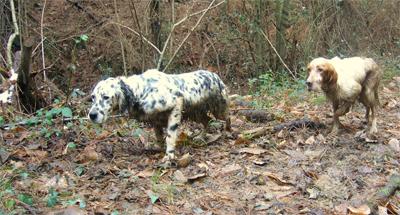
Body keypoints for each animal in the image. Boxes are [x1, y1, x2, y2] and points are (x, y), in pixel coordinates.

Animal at [87, 69, 231, 161]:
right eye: (93, 97)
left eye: (106, 97)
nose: (92, 115)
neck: (140, 90)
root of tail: (214, 75)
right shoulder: (155, 118)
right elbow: (159, 136)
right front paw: (159, 148)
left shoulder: (176, 103)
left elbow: (170, 136)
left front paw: (169, 155)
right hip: (196, 113)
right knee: (208, 121)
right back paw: (201, 137)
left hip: (219, 108)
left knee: (228, 117)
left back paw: (229, 131)